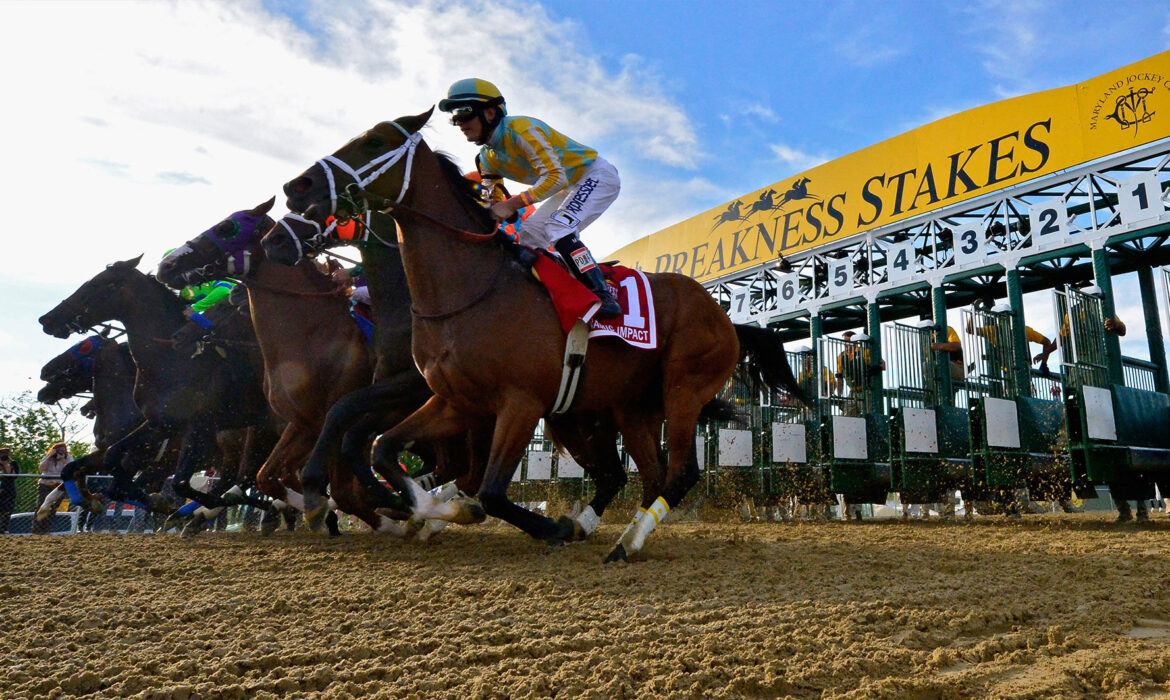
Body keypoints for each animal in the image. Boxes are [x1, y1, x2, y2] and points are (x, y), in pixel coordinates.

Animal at [153, 198, 414, 538]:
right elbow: (271, 477)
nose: (166, 266)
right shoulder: (302, 423)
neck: (312, 336)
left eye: (226, 228)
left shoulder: (332, 420)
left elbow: (337, 488)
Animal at [280, 112, 804, 561]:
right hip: (623, 409)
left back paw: (623, 542)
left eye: (374, 142)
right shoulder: (456, 401)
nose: (295, 187)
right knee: (642, 474)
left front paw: (537, 524)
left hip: (682, 389)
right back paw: (606, 530)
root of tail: (726, 317)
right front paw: (430, 511)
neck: (472, 287)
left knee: (679, 472)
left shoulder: (520, 402)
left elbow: (490, 490)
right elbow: (386, 449)